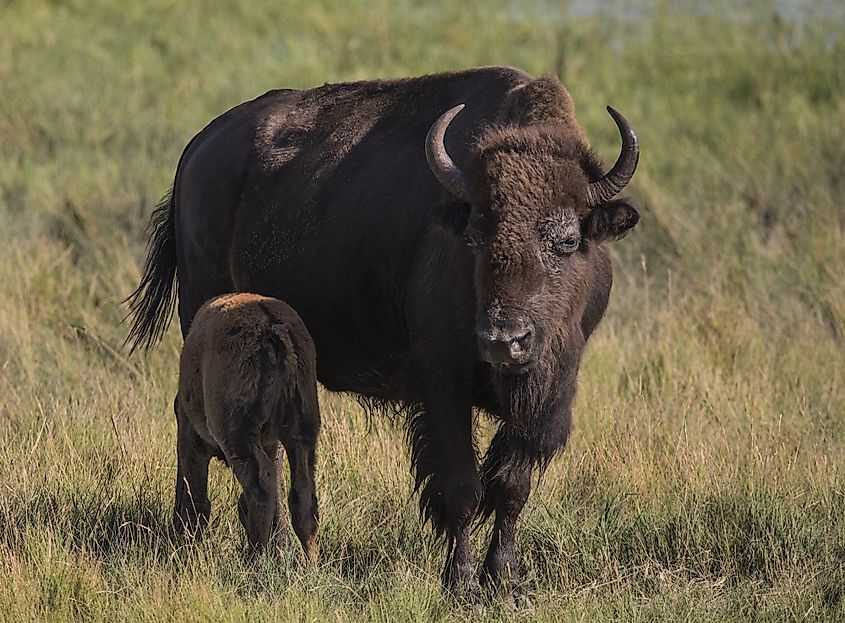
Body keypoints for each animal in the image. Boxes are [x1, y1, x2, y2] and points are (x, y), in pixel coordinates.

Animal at [173, 292, 318, 560]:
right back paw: (311, 563)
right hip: (303, 432)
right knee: (303, 495)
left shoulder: (190, 435)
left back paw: (254, 558)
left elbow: (196, 497)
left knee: (262, 488)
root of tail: (274, 329)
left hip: (239, 436)